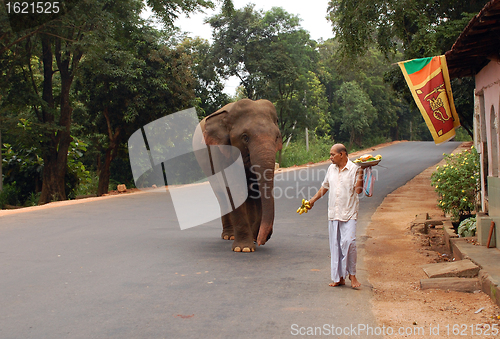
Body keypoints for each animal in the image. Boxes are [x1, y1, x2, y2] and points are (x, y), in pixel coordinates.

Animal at [193, 98, 284, 252]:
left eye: (277, 137)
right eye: (245, 137)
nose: (263, 240)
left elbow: (255, 191)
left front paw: (254, 239)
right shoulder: (223, 151)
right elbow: (234, 190)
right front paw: (244, 249)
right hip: (205, 164)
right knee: (222, 195)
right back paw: (229, 236)